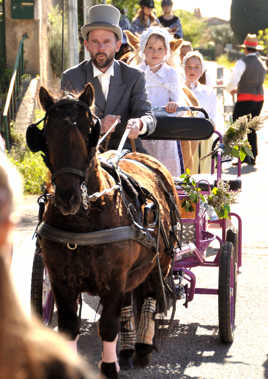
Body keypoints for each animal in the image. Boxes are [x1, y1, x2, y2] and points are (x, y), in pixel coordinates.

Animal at [26, 84, 181, 379]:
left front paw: (109, 367)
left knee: (150, 296)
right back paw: (128, 347)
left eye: (90, 133)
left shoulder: (113, 279)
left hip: (161, 261)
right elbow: (68, 328)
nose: (67, 198)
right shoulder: (62, 280)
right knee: (128, 302)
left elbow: (108, 327)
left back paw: (142, 345)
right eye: (46, 136)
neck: (83, 222)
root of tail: (137, 155)